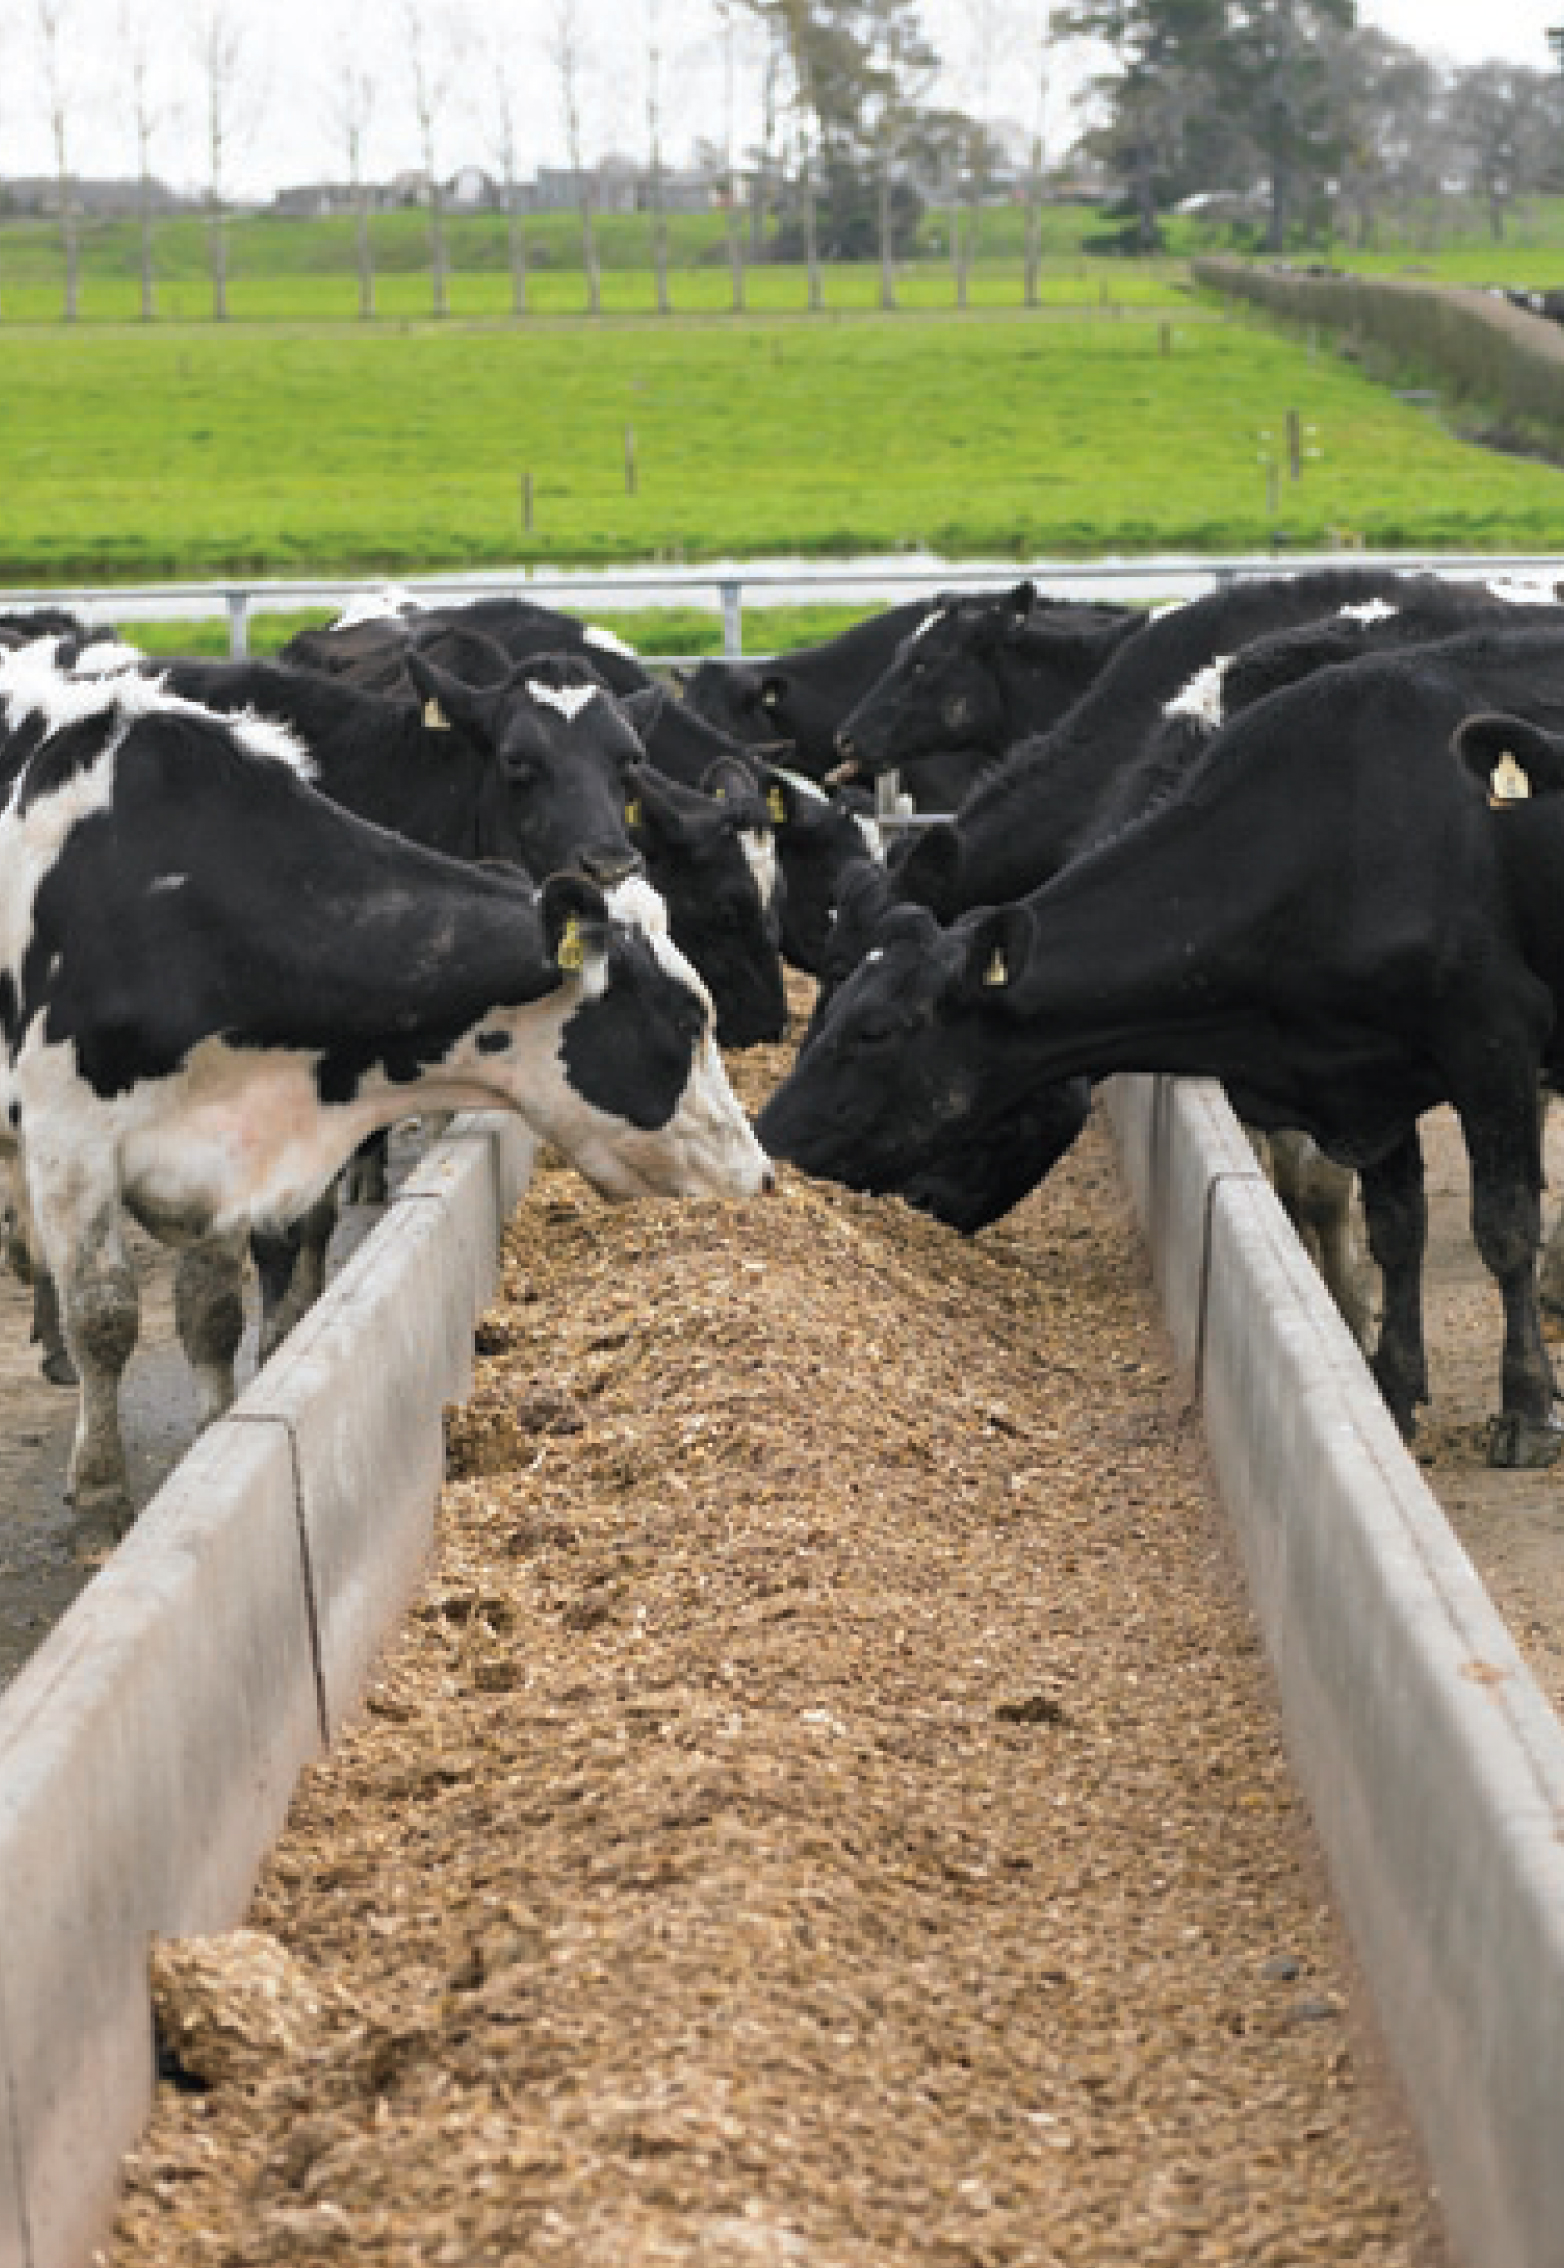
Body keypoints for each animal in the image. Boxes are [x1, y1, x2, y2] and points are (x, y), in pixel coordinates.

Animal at [0, 648, 766, 1551]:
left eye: (629, 763)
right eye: (688, 1017)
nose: (760, 1177)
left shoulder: (221, 1149)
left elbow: (212, 1310)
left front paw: (210, 1430)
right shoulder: (69, 1139)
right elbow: (107, 1318)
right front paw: (101, 1497)